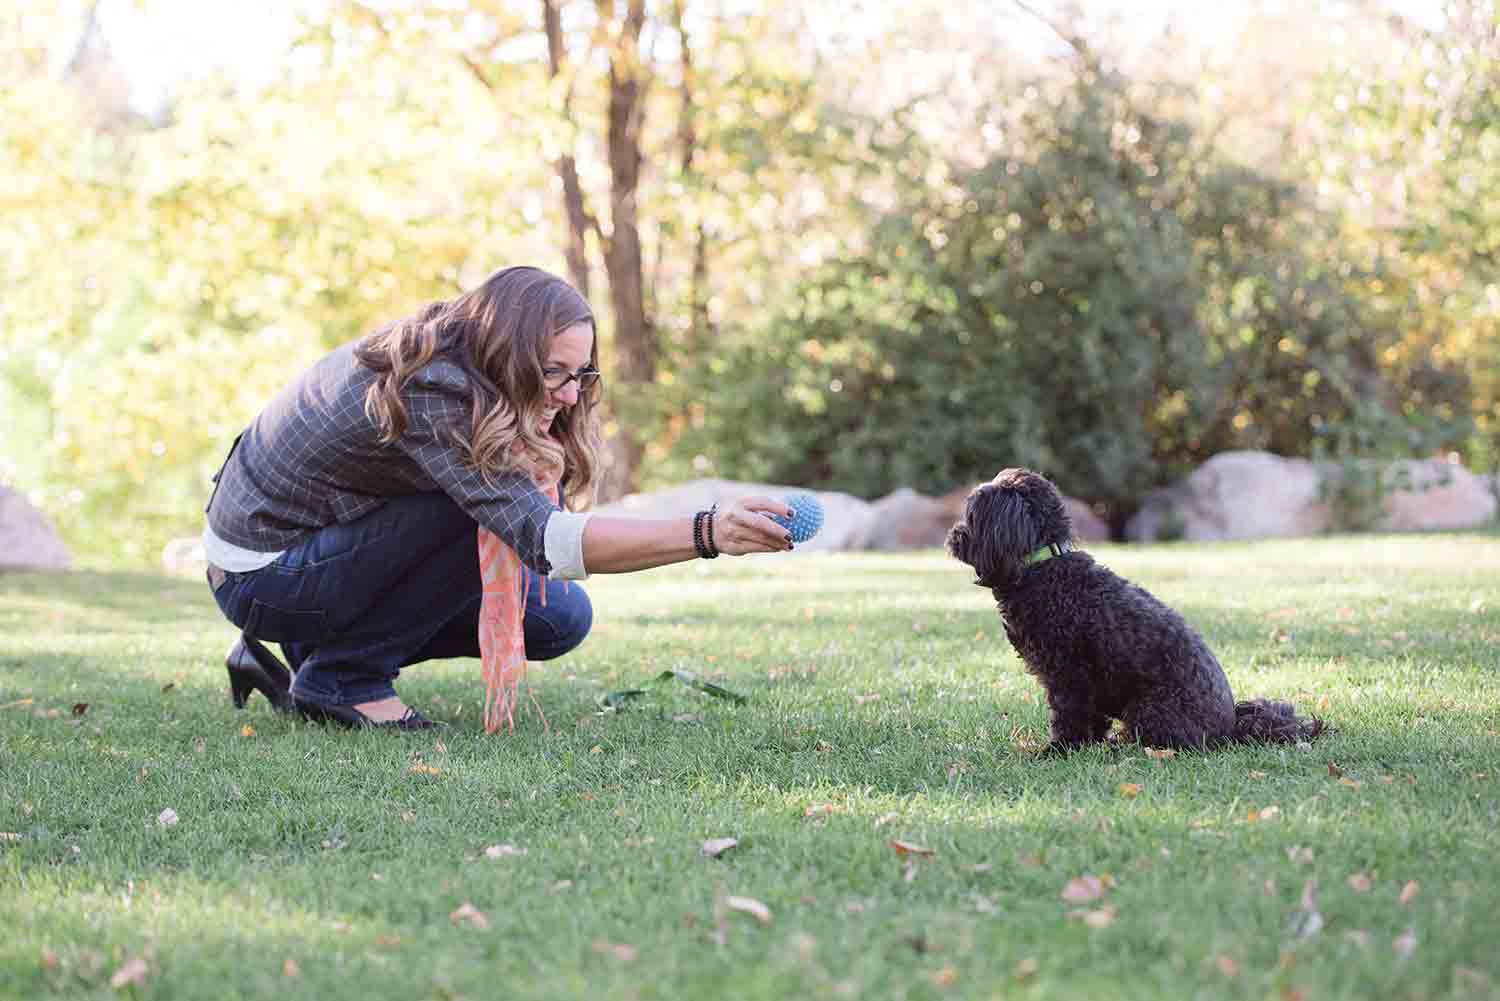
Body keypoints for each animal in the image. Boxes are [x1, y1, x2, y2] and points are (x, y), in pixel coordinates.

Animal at [948, 471, 1326, 750]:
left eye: (973, 516)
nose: (953, 536)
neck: (1046, 564)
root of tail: (1230, 727)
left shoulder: (1069, 673)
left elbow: (1069, 715)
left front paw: (1060, 749)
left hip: (1148, 709)